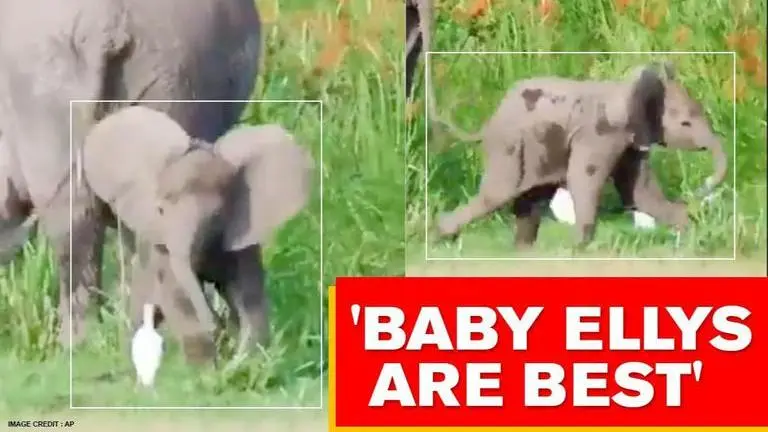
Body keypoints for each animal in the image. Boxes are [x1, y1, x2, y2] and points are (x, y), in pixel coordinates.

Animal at [82, 105, 313, 363]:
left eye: (217, 215)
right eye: (160, 211)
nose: (217, 323)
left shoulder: (240, 239)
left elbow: (249, 297)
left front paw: (245, 362)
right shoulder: (165, 250)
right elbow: (180, 296)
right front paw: (210, 366)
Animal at [433, 62, 728, 247]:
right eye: (686, 124)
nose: (699, 189)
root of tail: (489, 121)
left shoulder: (628, 141)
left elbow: (639, 192)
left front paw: (687, 233)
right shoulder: (599, 134)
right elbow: (584, 180)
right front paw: (577, 248)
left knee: (529, 202)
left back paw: (521, 251)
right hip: (510, 147)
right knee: (496, 195)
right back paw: (441, 237)